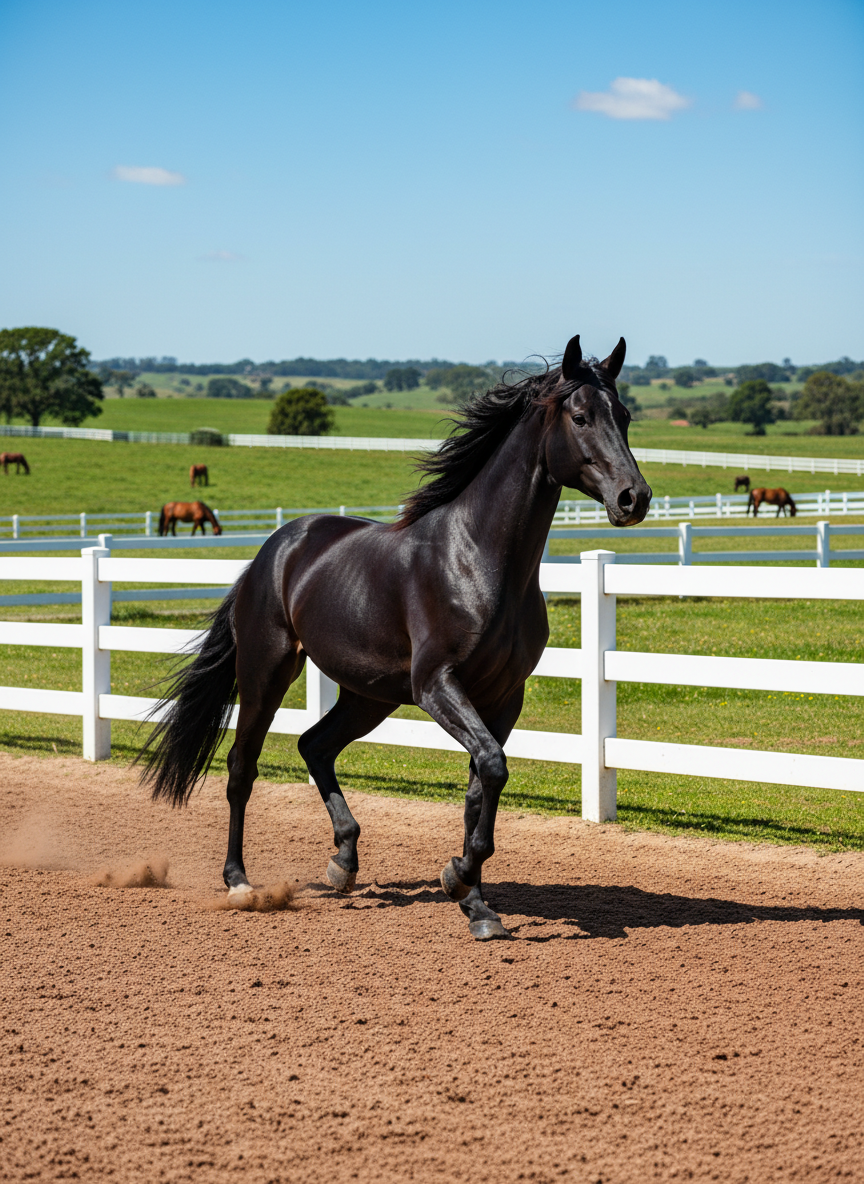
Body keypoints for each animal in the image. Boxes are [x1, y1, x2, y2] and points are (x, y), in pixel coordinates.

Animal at [139, 334, 652, 941]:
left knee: (314, 745)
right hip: (267, 671)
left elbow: (481, 785)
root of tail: (272, 551)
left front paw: (472, 898)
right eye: (580, 417)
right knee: (243, 767)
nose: (634, 498)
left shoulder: (504, 696)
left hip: (368, 696)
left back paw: (343, 863)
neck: (478, 560)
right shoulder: (436, 685)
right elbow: (493, 767)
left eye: (624, 416)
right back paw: (240, 882)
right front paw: (461, 881)